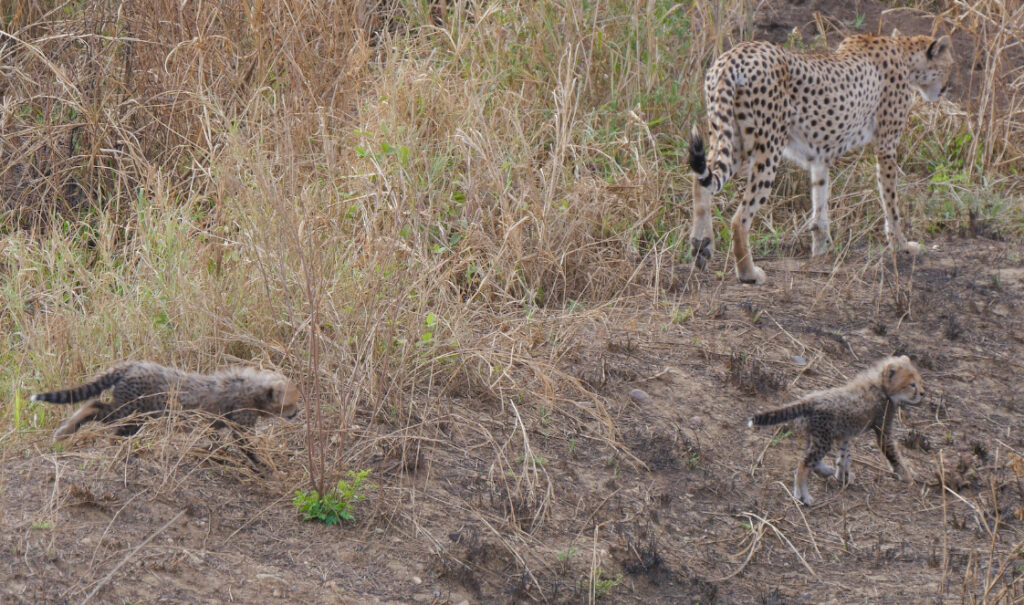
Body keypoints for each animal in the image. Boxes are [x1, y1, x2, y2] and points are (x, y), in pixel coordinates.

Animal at [32, 361, 300, 441]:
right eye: (289, 404)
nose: (296, 413)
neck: (255, 388)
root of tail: (132, 364)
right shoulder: (239, 427)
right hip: (130, 411)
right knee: (94, 405)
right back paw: (66, 431)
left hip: (135, 417)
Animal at [688, 31, 954, 284]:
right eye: (948, 66)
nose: (946, 88)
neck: (904, 52)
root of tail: (733, 56)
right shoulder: (886, 147)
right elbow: (891, 203)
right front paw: (901, 246)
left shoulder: (819, 154)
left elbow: (820, 199)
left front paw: (820, 250)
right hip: (767, 147)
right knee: (739, 218)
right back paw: (748, 273)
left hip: (731, 140)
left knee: (701, 182)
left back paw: (701, 246)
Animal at [748, 355, 924, 506]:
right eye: (912, 384)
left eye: (919, 381)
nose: (922, 393)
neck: (881, 386)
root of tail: (810, 399)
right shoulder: (882, 432)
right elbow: (893, 454)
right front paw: (907, 476)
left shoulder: (844, 435)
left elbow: (845, 456)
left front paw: (843, 476)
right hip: (823, 439)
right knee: (804, 463)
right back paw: (802, 494)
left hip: (816, 436)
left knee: (811, 460)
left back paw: (825, 471)